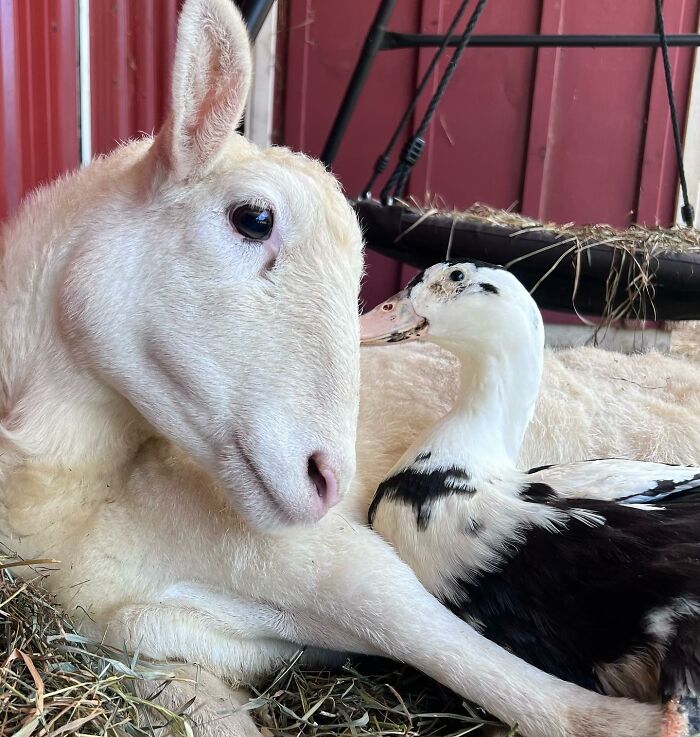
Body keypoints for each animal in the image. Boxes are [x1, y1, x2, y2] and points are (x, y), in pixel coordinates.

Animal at [0, 1, 692, 735]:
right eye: (255, 217)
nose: (329, 479)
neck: (76, 493)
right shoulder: (142, 636)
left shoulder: (348, 563)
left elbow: (461, 651)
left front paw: (637, 722)